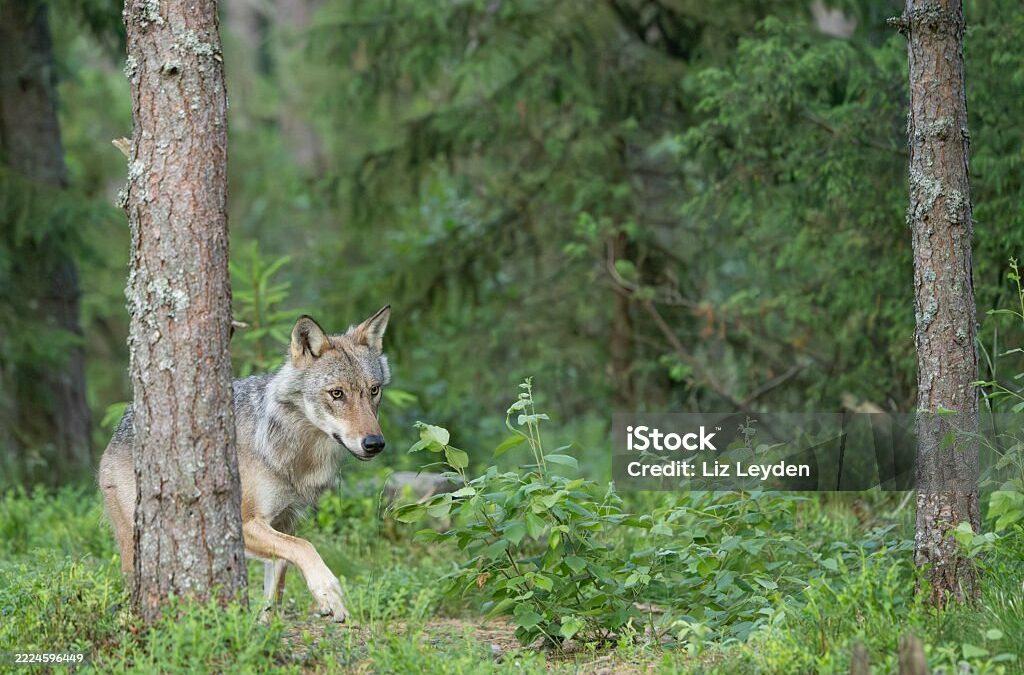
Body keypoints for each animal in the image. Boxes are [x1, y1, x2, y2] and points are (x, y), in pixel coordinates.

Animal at [98, 306, 392, 622]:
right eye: (337, 393)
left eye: (374, 390)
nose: (374, 443)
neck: (296, 453)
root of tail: (123, 419)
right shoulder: (245, 524)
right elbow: (306, 547)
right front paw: (328, 592)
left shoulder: (286, 523)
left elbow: (279, 578)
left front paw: (264, 626)